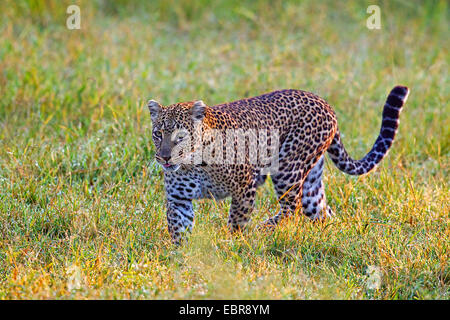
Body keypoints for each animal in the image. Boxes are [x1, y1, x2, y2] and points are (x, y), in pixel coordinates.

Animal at [147, 85, 408, 245]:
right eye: (158, 134)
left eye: (181, 136)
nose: (165, 158)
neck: (193, 164)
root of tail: (326, 104)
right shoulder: (178, 198)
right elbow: (179, 229)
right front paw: (181, 257)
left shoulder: (245, 187)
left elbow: (237, 221)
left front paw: (232, 243)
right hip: (311, 183)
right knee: (322, 211)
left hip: (288, 168)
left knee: (291, 208)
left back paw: (264, 228)